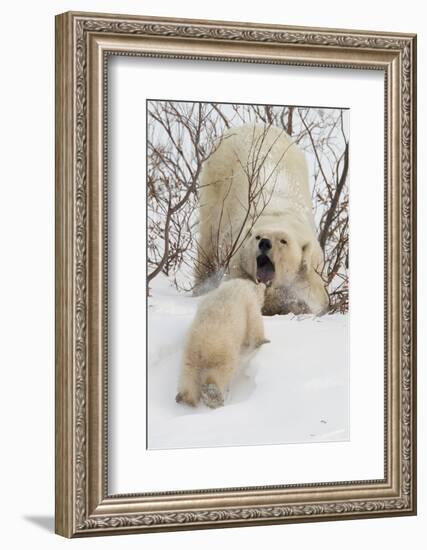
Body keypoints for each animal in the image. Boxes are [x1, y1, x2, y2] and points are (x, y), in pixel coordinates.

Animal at [196, 123, 330, 316]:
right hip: (216, 181)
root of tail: (249, 125)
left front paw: (292, 304)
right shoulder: (238, 259)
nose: (265, 243)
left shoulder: (311, 270)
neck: (279, 215)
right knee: (209, 239)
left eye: (283, 240)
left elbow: (313, 297)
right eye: (257, 236)